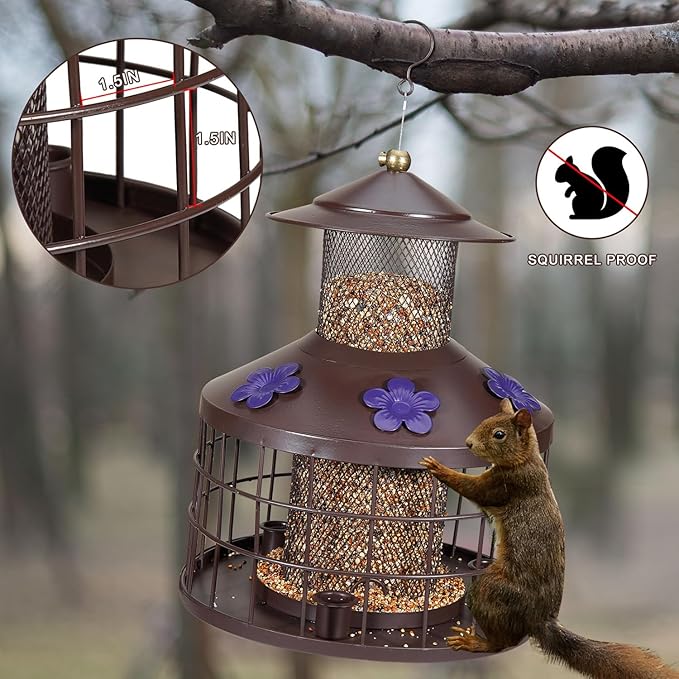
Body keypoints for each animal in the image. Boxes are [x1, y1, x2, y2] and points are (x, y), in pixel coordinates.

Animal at [420, 398, 678, 679]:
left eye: (499, 434)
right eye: (484, 420)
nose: (468, 443)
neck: (525, 460)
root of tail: (538, 620)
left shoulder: (508, 483)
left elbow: (472, 487)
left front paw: (439, 468)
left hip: (493, 590)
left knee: (502, 642)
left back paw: (475, 642)